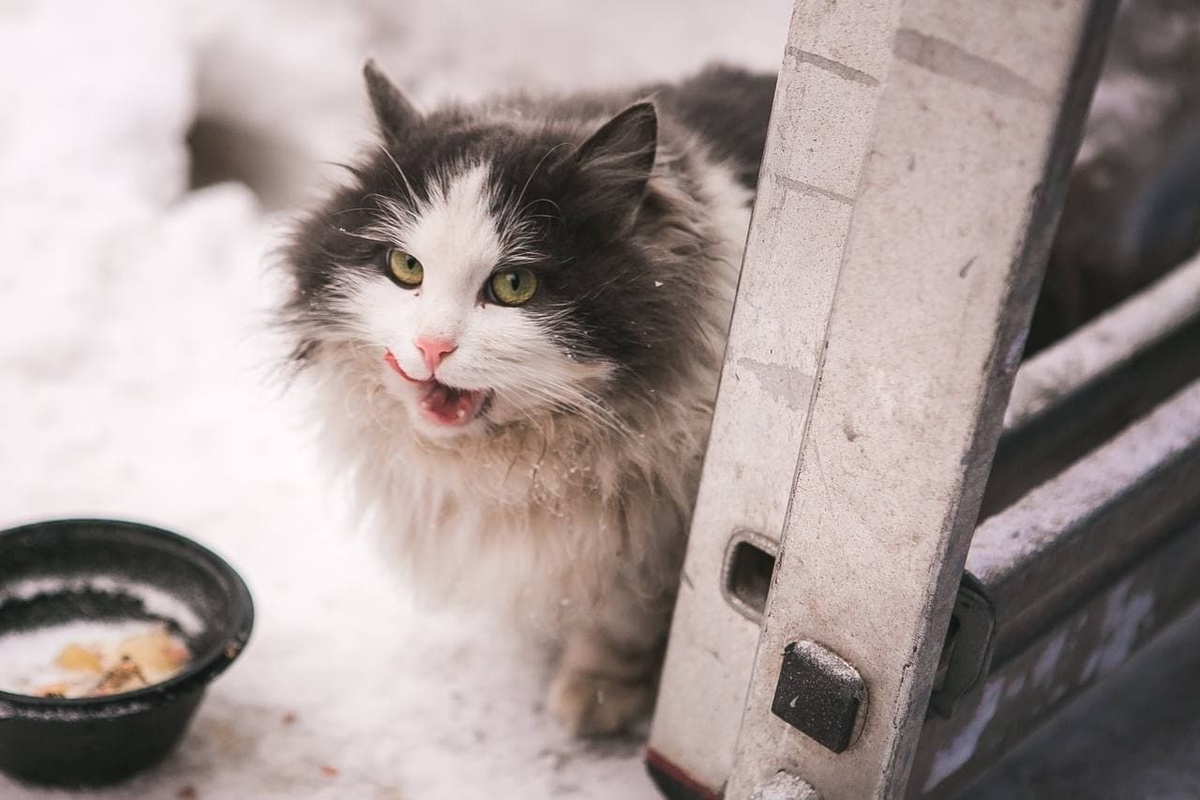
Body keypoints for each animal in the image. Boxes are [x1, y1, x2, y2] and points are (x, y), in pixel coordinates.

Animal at [276, 59, 772, 734]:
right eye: (406, 268)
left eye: (515, 285)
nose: (432, 347)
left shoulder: (654, 540)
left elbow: (623, 622)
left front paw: (592, 699)